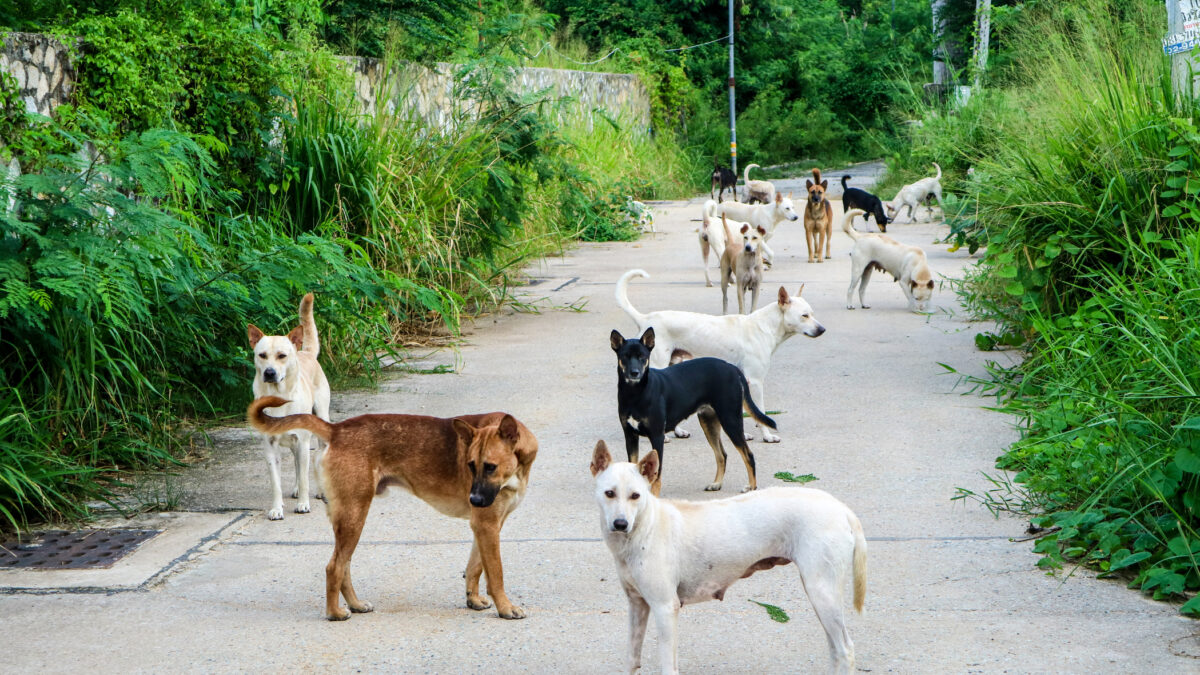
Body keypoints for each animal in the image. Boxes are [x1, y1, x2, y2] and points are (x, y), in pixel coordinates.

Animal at [248, 291, 331, 516]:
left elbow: (304, 477)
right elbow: (276, 482)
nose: (269, 373)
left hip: (320, 420)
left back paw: (321, 492)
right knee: (296, 463)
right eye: (262, 355)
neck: (280, 398)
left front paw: (303, 504)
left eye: (282, 356)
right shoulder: (270, 446)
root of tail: (306, 352)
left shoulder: (303, 441)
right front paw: (277, 509)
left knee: (314, 459)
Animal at [248, 393, 540, 619]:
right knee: (334, 567)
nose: (474, 500)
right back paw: (335, 612)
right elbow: (496, 573)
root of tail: (336, 429)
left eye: (490, 467)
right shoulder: (486, 525)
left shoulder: (487, 526)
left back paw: (355, 604)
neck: (516, 468)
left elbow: (476, 567)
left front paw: (473, 599)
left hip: (347, 519)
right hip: (355, 516)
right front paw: (506, 608)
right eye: (471, 466)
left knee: (344, 566)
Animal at [588, 441, 864, 672]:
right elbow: (632, 659)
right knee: (835, 650)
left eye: (636, 496)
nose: (620, 524)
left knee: (846, 650)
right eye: (609, 493)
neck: (645, 526)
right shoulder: (637, 605)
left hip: (822, 592)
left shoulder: (665, 608)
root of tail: (841, 508)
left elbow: (668, 665)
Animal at [614, 326, 772, 494]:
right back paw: (716, 483)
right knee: (722, 455)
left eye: (642, 357)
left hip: (731, 421)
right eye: (625, 357)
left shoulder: (657, 436)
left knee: (748, 455)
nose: (634, 373)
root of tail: (733, 368)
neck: (636, 393)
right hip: (709, 422)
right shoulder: (630, 436)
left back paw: (752, 487)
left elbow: (657, 475)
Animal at [619, 265, 825, 444]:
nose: (822, 330)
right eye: (804, 316)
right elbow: (760, 412)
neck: (765, 326)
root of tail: (645, 319)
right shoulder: (755, 382)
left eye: (812, 313)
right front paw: (767, 436)